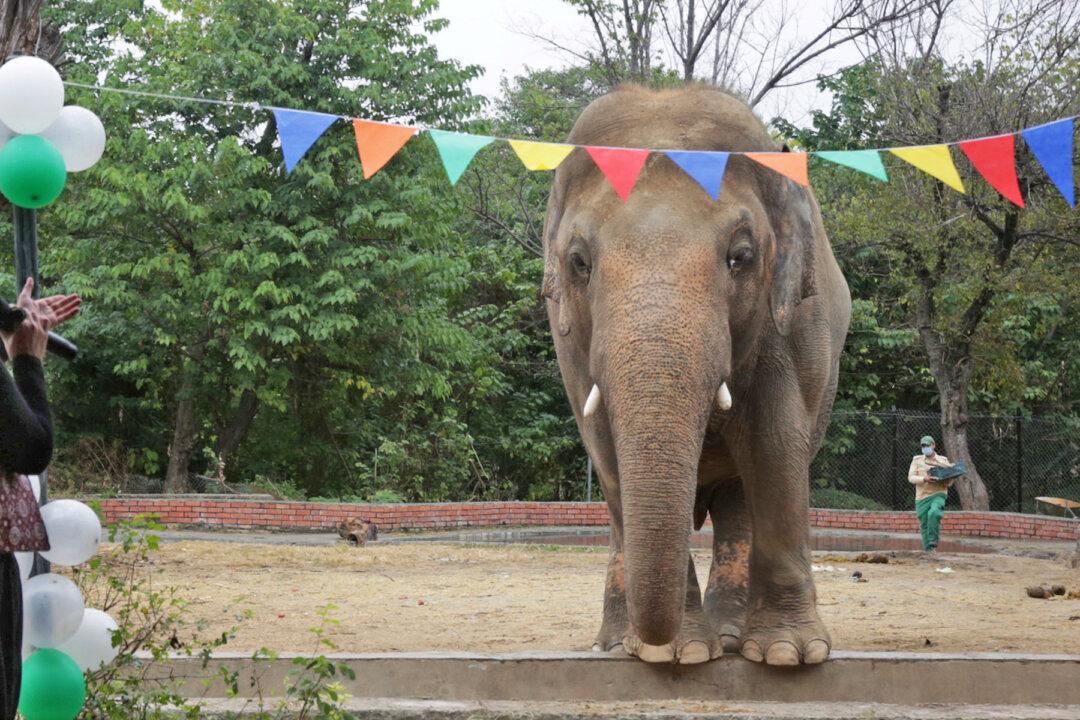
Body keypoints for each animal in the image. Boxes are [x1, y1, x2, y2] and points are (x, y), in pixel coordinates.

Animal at [542, 85, 851, 666]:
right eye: (578, 262)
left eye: (741, 256)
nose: (657, 641)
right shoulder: (568, 340)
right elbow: (605, 450)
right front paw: (674, 655)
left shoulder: (793, 319)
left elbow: (775, 439)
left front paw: (787, 654)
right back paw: (617, 644)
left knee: (739, 501)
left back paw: (732, 637)